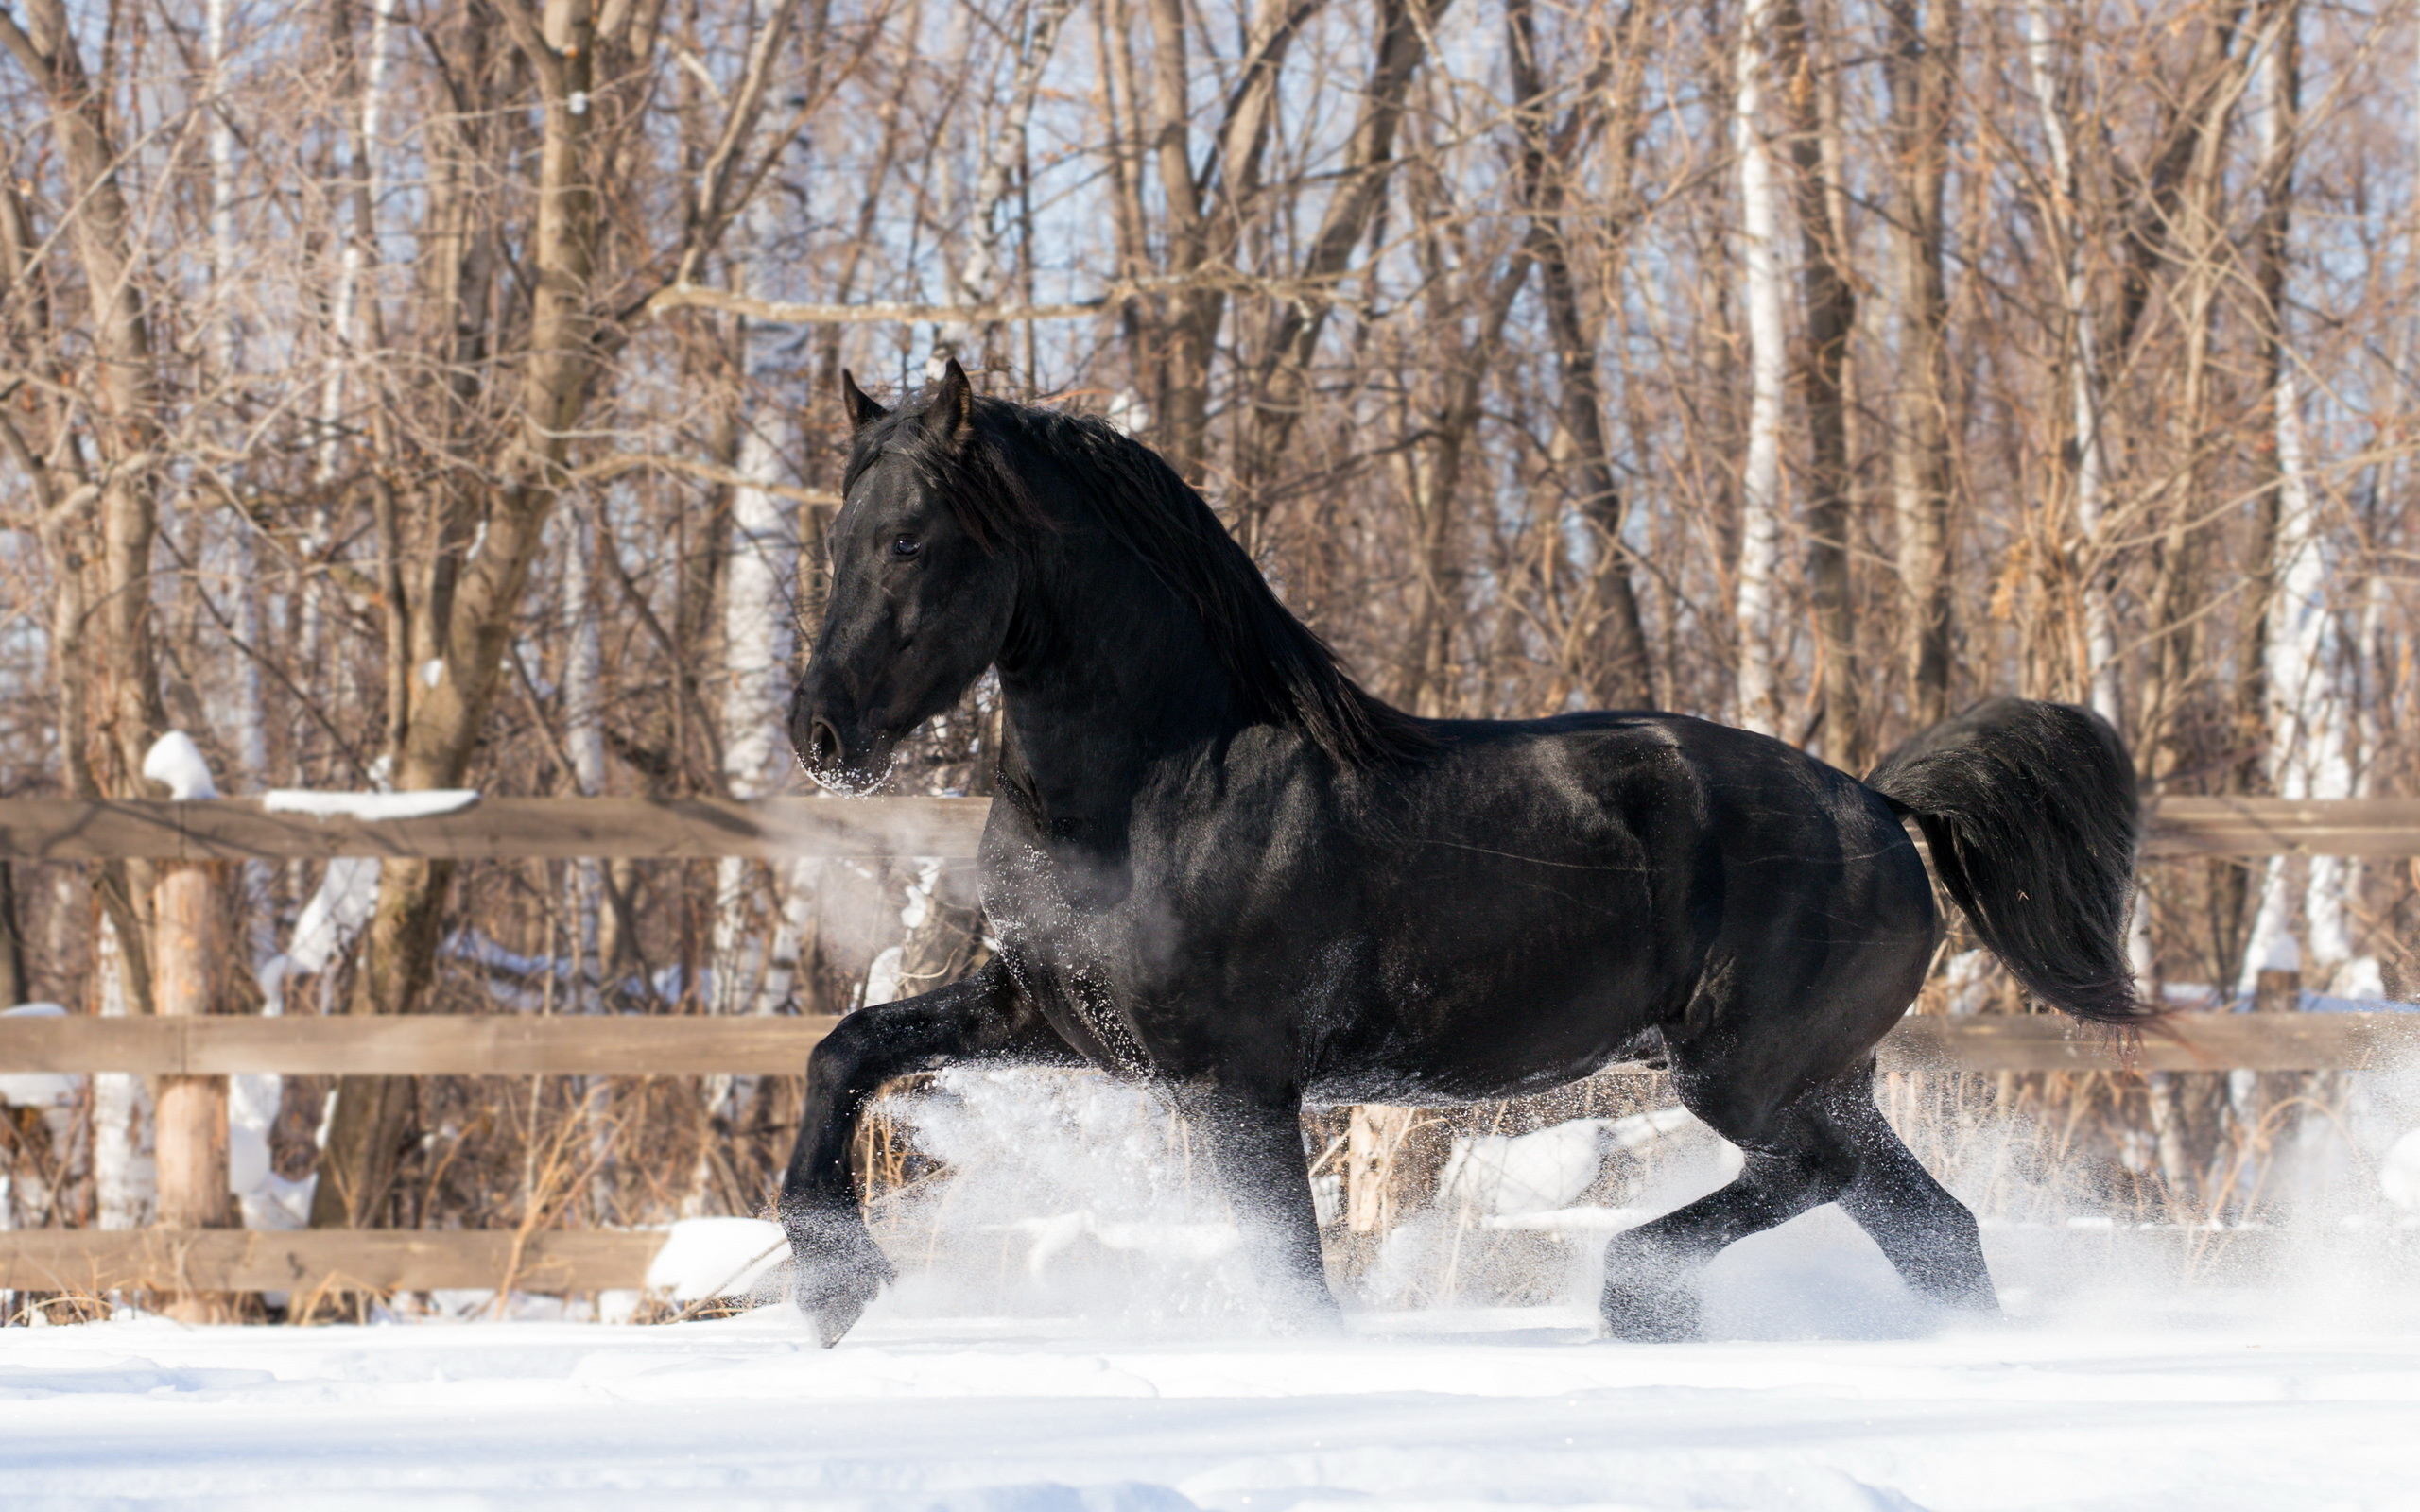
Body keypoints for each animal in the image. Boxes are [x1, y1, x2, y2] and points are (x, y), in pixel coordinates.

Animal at [769, 355, 2139, 1345]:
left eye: (911, 540)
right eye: (838, 540)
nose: (817, 733)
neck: (1159, 785)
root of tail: (1879, 804)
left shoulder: (1237, 1082)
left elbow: (1293, 1275)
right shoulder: (1053, 1018)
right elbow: (846, 1049)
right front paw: (833, 1284)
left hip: (1750, 1074)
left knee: (1812, 1174)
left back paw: (1638, 1295)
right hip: (1824, 1075)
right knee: (1935, 1231)